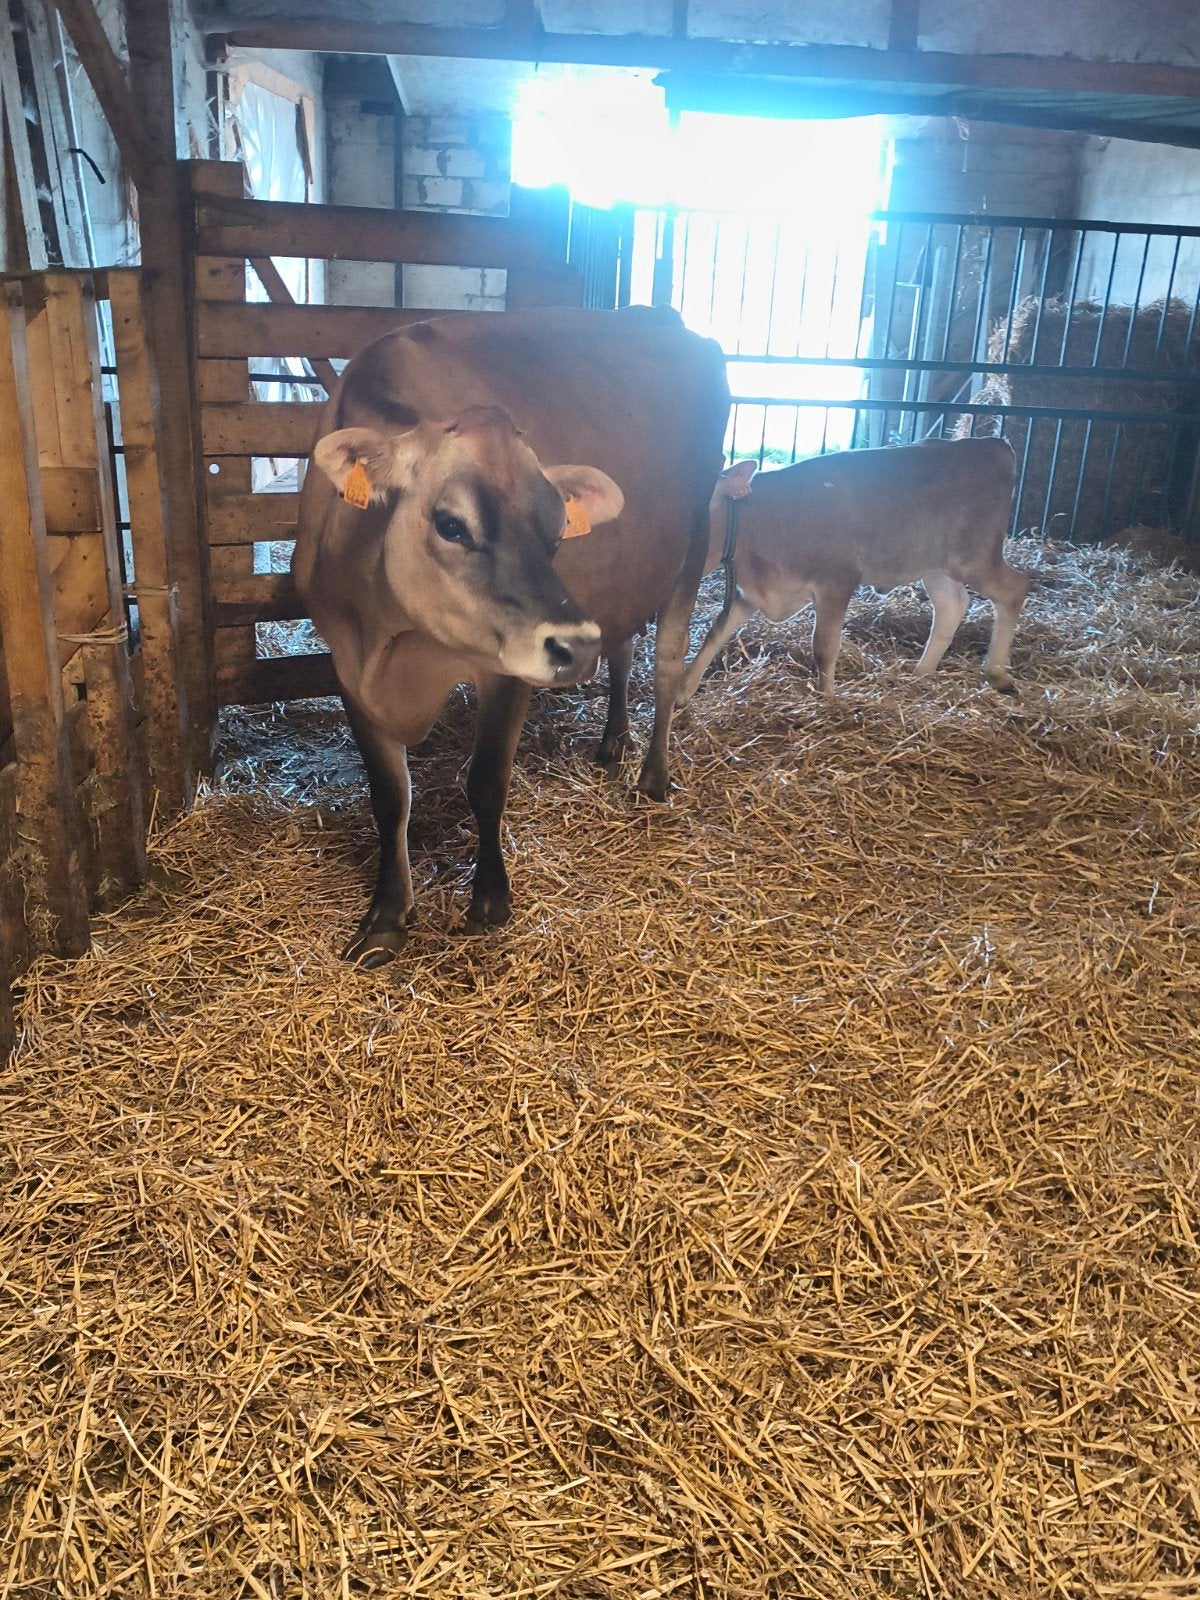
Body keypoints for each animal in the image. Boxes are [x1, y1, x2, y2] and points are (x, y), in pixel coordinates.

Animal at [293, 305, 730, 966]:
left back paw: (653, 777)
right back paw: (613, 741)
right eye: (451, 524)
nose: (575, 642)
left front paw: (490, 900)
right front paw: (387, 917)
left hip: (693, 543)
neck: (398, 645)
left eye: (558, 531)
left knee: (668, 666)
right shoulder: (347, 663)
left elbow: (486, 782)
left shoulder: (507, 668)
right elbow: (389, 797)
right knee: (624, 649)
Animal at [677, 436, 1028, 705]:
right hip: (935, 564)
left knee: (1014, 588)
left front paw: (826, 698)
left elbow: (824, 647)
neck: (762, 517)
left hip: (975, 558)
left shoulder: (837, 581)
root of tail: (992, 445)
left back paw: (996, 672)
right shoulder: (750, 592)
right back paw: (921, 673)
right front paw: (682, 693)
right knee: (951, 604)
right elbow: (715, 634)